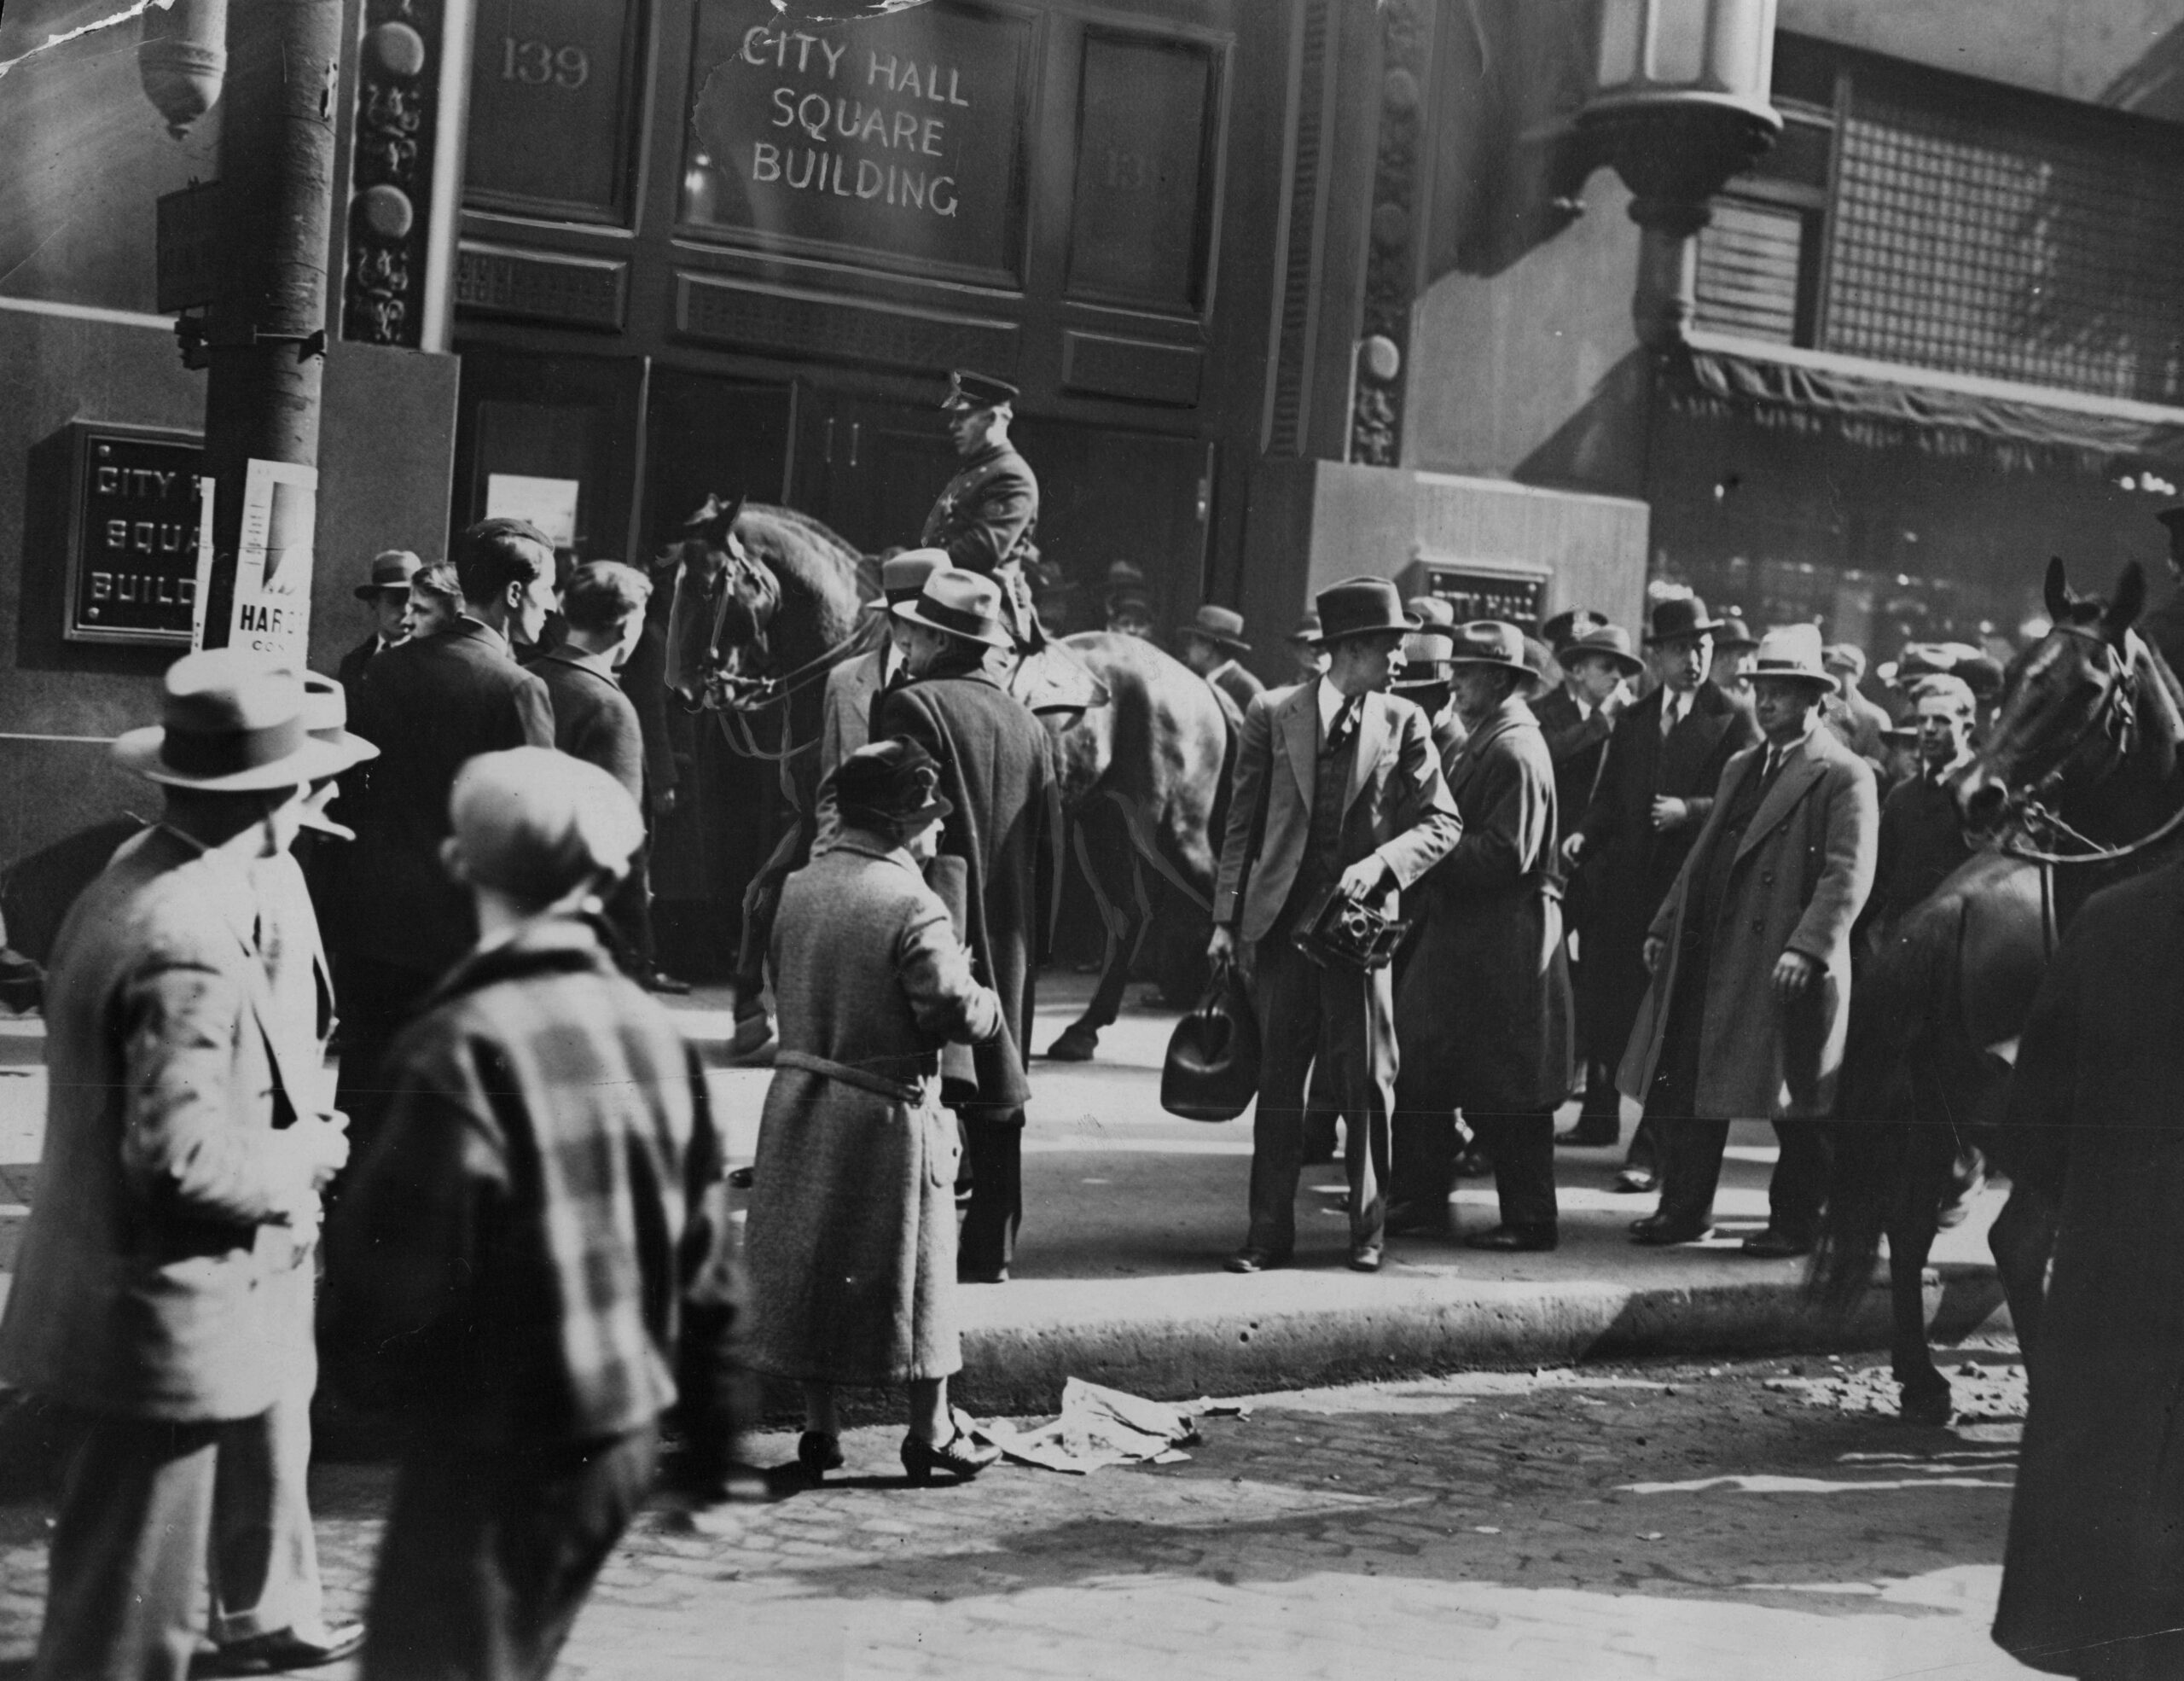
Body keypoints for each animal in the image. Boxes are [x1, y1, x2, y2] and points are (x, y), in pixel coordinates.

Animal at [655, 491, 1240, 1056]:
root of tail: (1197, 681)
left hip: (1170, 830)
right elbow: (759, 894)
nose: (681, 691)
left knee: (1218, 898)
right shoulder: (810, 816)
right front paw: (750, 1013)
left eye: (708, 586)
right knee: (1130, 918)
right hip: (1103, 827)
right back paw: (1083, 1030)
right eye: (674, 582)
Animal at [1808, 556, 2184, 1423]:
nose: (1975, 793)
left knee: (1914, 1221)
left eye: (2088, 687)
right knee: (2016, 1239)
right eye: (2012, 678)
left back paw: (1923, 1379)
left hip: (1939, 1107)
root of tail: (1949, 908)